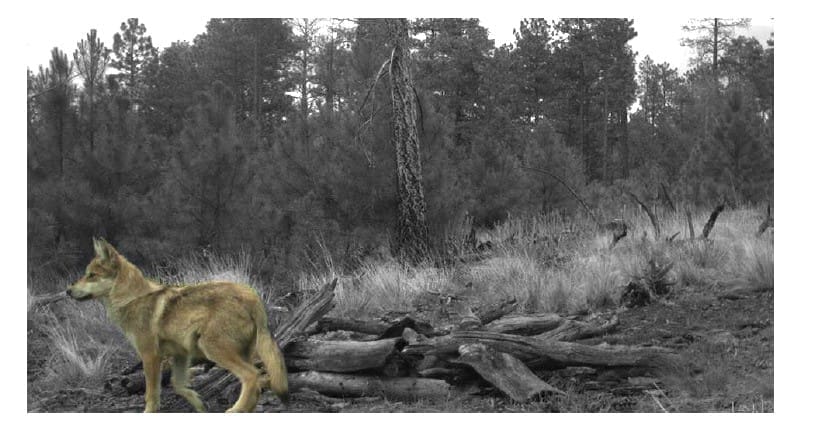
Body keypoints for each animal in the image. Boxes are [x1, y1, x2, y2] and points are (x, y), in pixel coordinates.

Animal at [67, 238, 289, 412]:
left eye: (91, 275)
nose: (68, 291)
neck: (131, 299)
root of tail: (252, 295)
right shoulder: (180, 354)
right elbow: (177, 385)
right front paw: (199, 405)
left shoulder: (150, 355)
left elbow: (151, 395)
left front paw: (148, 413)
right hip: (237, 351)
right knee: (257, 381)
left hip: (213, 350)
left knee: (252, 376)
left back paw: (235, 410)